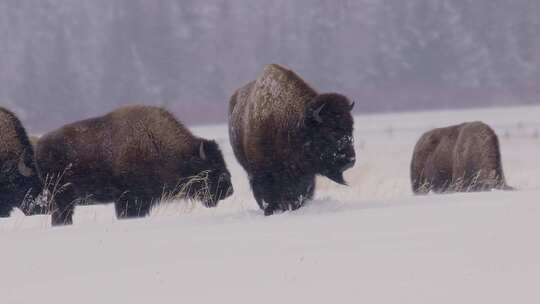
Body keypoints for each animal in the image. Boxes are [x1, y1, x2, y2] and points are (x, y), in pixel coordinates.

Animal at [228, 63, 354, 215]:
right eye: (329, 132)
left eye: (351, 129)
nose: (350, 160)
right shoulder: (262, 174)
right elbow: (267, 196)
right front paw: (271, 211)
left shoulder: (303, 175)